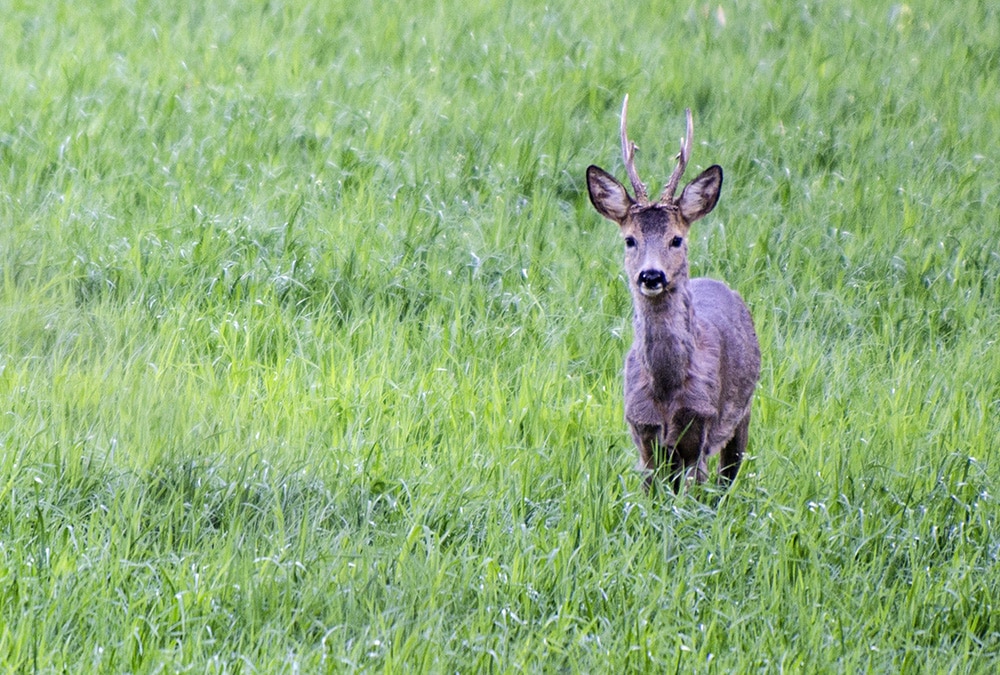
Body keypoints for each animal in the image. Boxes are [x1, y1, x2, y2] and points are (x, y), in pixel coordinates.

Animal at [584, 96, 756, 492]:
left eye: (676, 239)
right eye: (630, 239)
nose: (651, 275)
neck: (666, 391)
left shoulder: (702, 426)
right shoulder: (642, 431)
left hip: (743, 412)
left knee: (727, 478)